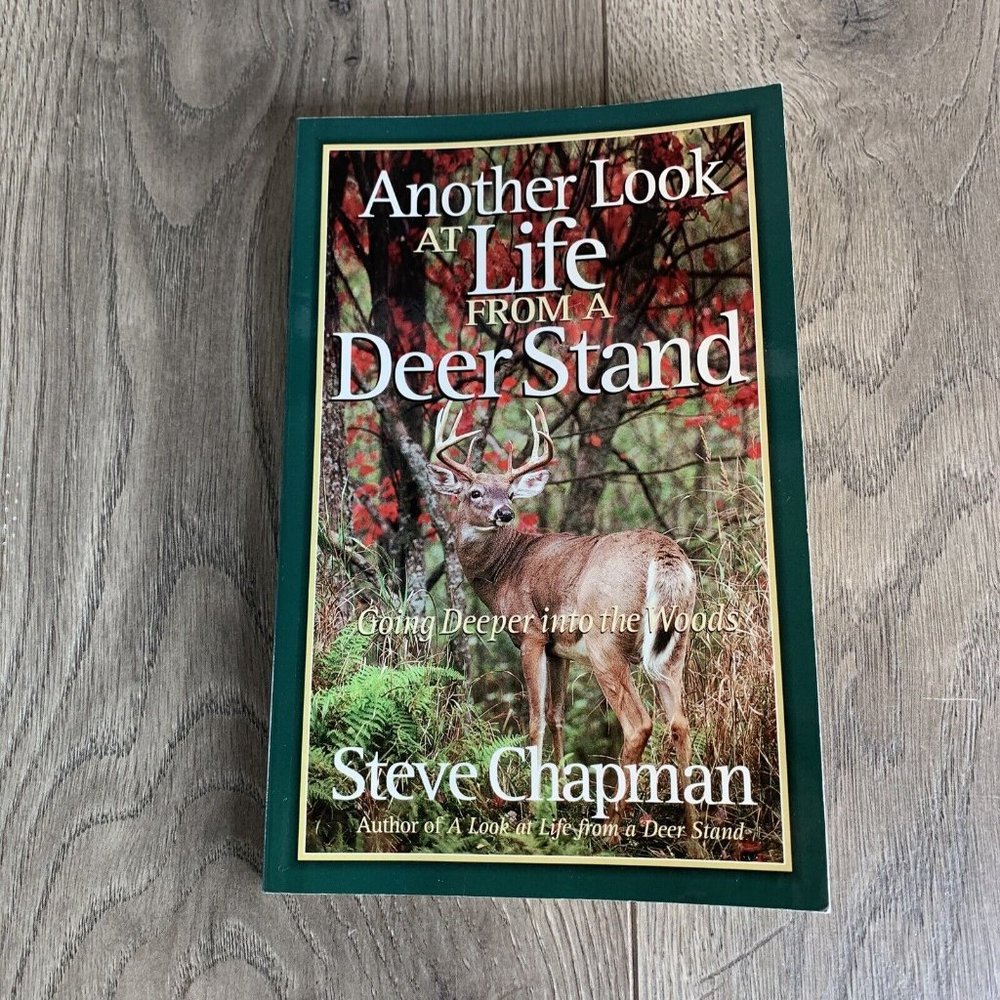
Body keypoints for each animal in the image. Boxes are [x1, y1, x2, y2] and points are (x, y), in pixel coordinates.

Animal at [427, 401, 699, 840]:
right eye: (475, 492)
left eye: (510, 492)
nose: (505, 512)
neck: (504, 570)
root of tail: (666, 556)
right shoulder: (560, 650)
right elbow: (557, 716)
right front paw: (558, 796)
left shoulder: (532, 634)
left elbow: (536, 720)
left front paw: (533, 804)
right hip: (676, 644)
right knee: (680, 722)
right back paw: (693, 836)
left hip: (607, 641)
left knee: (639, 724)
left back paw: (610, 828)